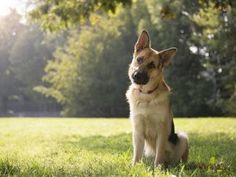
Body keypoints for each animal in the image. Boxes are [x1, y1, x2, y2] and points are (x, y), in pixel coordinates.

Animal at [126, 29, 189, 167]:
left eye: (151, 65)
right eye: (139, 59)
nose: (136, 75)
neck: (146, 95)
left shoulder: (162, 130)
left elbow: (159, 152)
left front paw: (158, 167)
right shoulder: (137, 131)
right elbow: (136, 154)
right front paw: (134, 167)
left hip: (182, 137)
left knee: (177, 159)